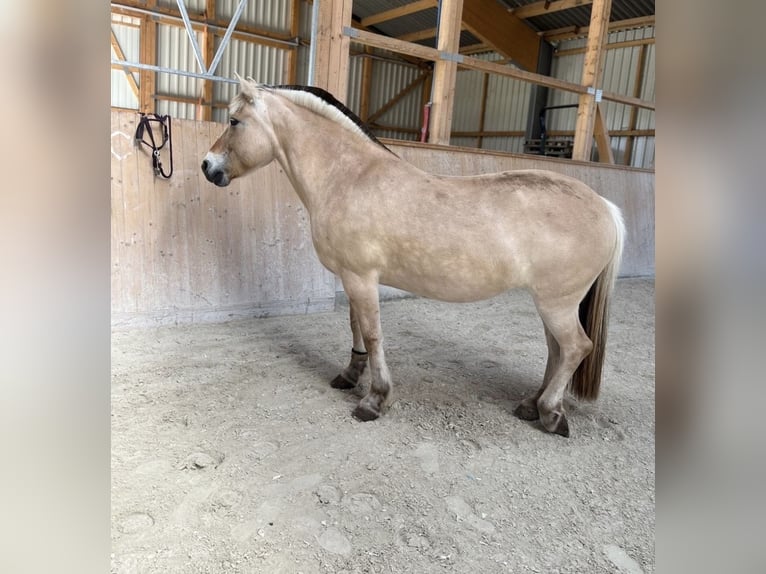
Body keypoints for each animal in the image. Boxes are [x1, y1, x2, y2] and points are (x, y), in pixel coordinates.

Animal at [201, 76, 625, 437]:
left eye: (235, 120)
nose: (207, 166)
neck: (349, 177)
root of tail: (603, 205)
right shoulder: (352, 277)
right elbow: (356, 327)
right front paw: (350, 375)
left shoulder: (360, 277)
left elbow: (373, 334)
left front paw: (374, 399)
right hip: (549, 303)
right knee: (556, 350)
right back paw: (531, 405)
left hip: (557, 302)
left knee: (575, 348)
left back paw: (551, 414)